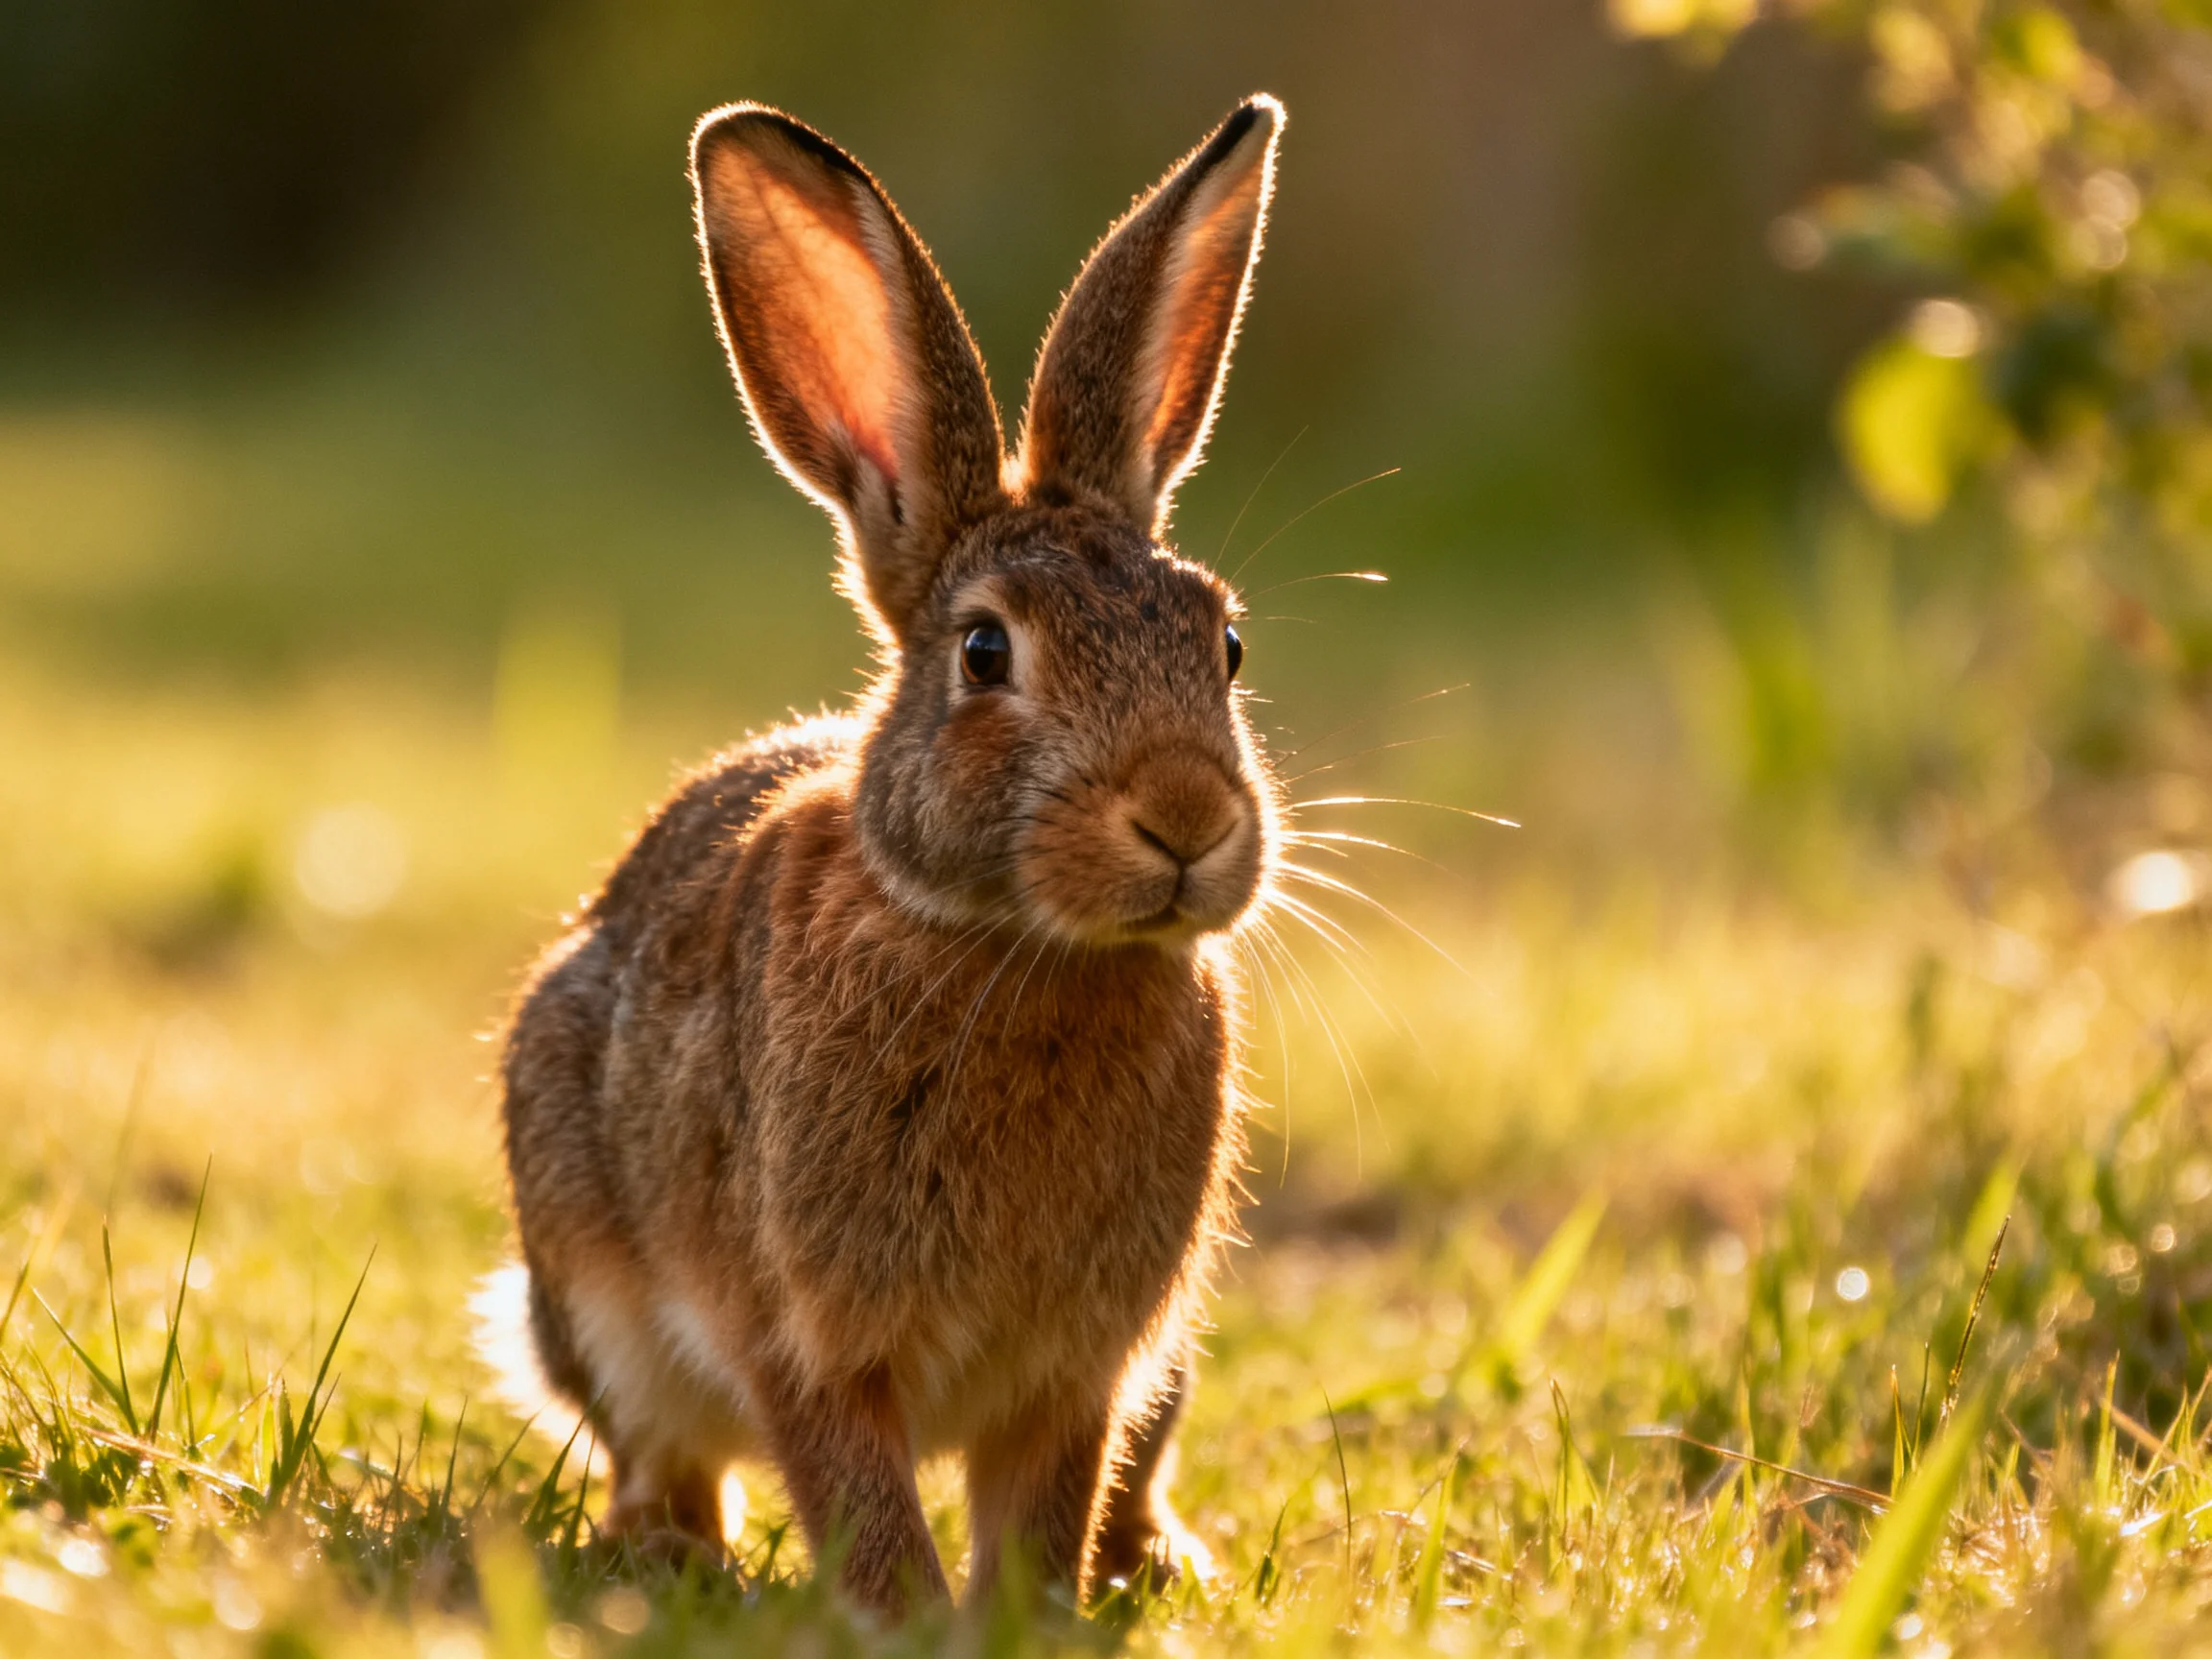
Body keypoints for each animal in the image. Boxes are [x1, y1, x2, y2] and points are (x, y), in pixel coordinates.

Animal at [486, 91, 1285, 1618]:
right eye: (983, 653)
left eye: (1222, 642)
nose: (1188, 820)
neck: (1016, 949)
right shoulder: (803, 1328)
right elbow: (852, 1482)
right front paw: (907, 1620)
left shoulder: (1084, 1369)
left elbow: (1046, 1497)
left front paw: (1031, 1621)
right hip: (594, 1289)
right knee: (661, 1452)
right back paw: (671, 1555)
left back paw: (1159, 1558)